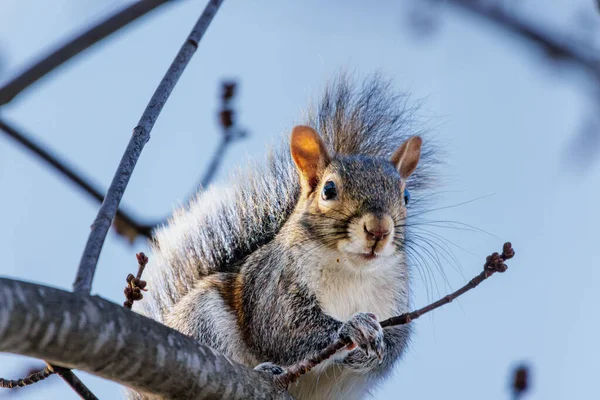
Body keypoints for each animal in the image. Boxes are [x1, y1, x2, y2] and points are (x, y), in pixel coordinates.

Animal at [132, 75, 436, 400]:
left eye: (406, 196)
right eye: (329, 190)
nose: (379, 230)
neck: (351, 269)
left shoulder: (396, 301)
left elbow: (395, 345)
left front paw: (372, 347)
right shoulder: (274, 284)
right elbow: (283, 330)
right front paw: (352, 327)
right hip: (202, 319)